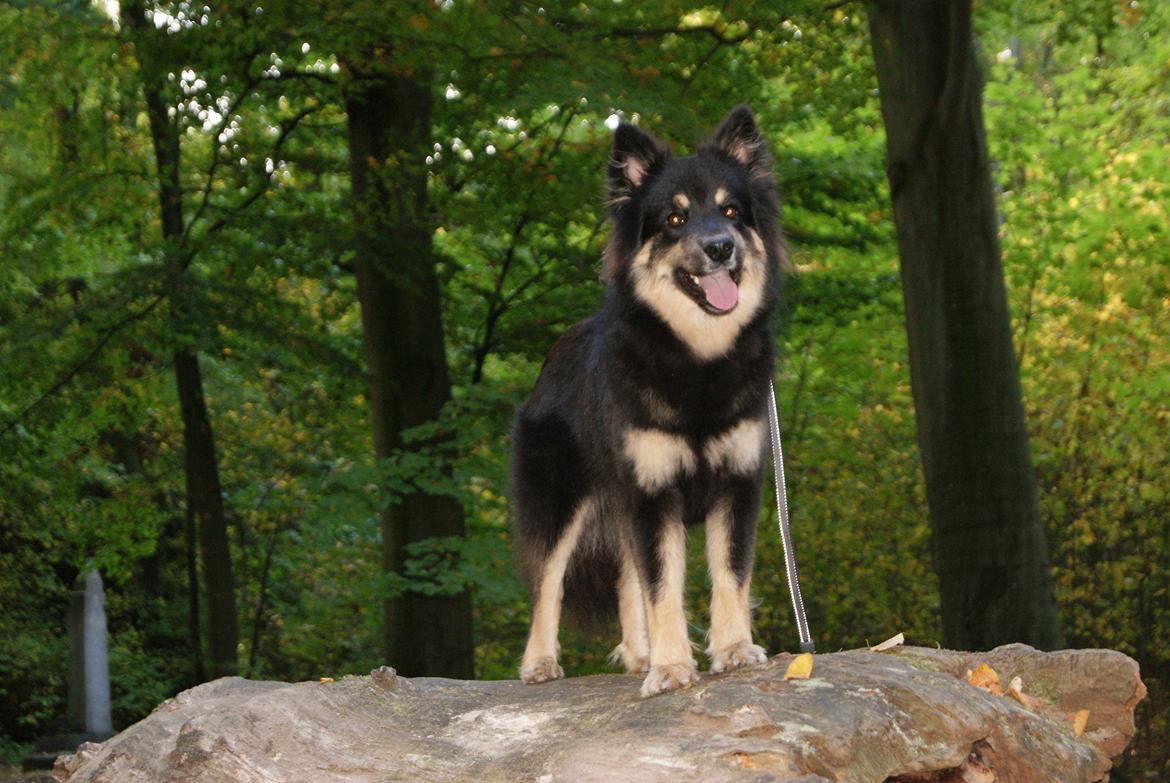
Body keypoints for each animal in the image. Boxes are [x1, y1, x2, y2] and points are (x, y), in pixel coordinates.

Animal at [507, 105, 781, 697]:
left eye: (731, 210)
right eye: (674, 220)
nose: (721, 246)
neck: (697, 360)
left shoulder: (737, 484)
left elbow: (729, 573)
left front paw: (732, 649)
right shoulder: (653, 493)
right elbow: (663, 587)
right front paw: (673, 665)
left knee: (626, 576)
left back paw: (639, 653)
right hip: (560, 499)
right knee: (549, 582)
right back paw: (540, 662)